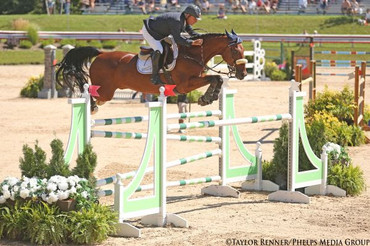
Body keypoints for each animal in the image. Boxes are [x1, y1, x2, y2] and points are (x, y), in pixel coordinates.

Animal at [56, 29, 247, 112]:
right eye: (235, 50)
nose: (243, 74)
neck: (192, 54)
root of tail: (101, 53)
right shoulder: (184, 85)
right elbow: (215, 78)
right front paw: (206, 98)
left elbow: (217, 79)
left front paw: (208, 98)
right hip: (105, 90)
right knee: (89, 90)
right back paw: (91, 106)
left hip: (107, 92)